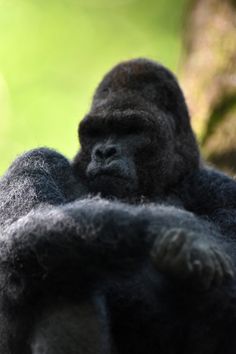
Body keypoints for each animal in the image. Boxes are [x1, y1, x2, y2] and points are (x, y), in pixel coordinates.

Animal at [0, 58, 236, 354]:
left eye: (131, 129)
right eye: (96, 132)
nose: (104, 152)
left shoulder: (222, 188)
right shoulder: (37, 159)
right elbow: (21, 226)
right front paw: (167, 226)